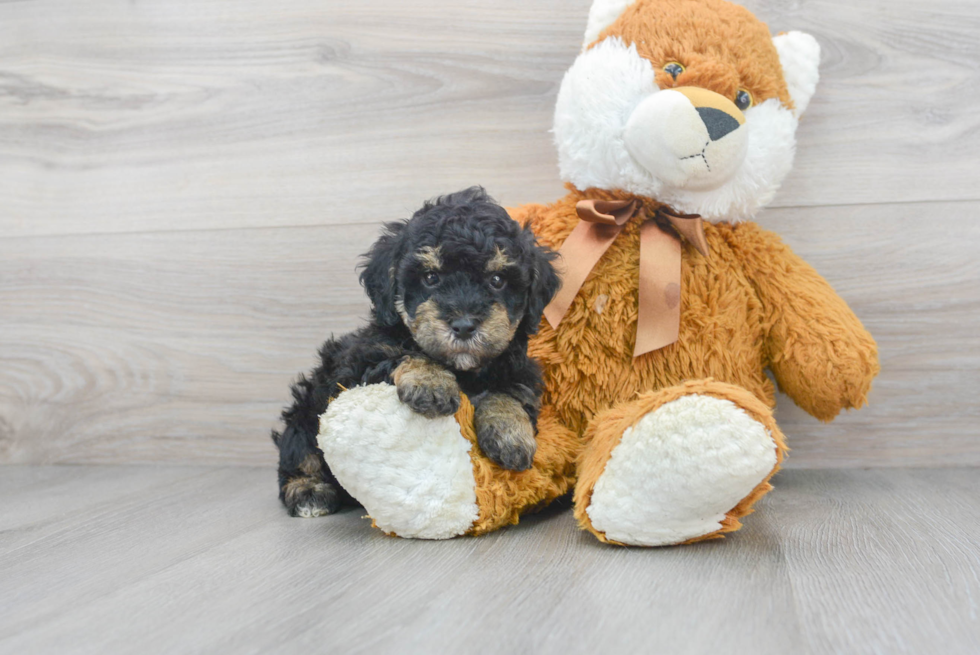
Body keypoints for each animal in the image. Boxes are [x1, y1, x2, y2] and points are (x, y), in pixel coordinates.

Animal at [272, 187, 560, 520]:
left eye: (497, 280)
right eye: (431, 278)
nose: (464, 325)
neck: (463, 369)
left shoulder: (519, 371)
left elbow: (509, 393)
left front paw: (511, 433)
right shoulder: (361, 365)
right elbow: (405, 353)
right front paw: (431, 383)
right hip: (306, 413)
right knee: (299, 452)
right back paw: (308, 492)